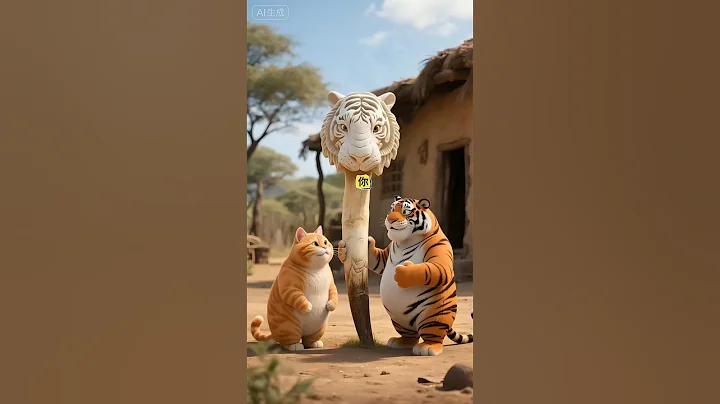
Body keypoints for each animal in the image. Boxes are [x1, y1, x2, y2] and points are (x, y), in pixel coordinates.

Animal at [338, 196, 473, 356]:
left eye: (405, 212)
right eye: (391, 210)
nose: (390, 219)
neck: (405, 240)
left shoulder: (440, 252)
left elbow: (436, 269)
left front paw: (402, 272)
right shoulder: (384, 256)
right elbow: (375, 258)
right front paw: (348, 247)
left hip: (434, 315)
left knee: (433, 335)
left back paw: (428, 347)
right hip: (399, 320)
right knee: (410, 336)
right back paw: (400, 342)